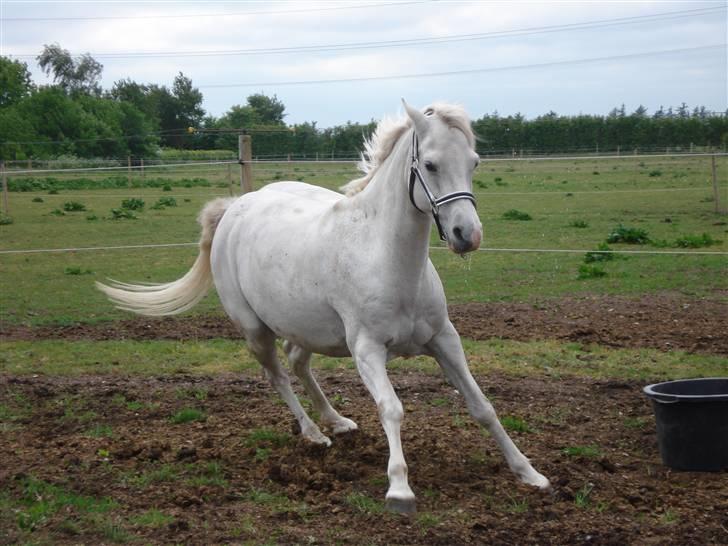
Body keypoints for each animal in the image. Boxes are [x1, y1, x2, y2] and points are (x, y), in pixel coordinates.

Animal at [96, 101, 551, 514]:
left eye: (474, 162)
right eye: (431, 164)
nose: (466, 235)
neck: (387, 258)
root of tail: (235, 208)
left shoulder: (444, 340)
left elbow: (483, 406)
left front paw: (529, 473)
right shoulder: (367, 351)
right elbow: (392, 409)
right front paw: (399, 490)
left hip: (305, 327)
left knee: (298, 362)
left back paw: (337, 420)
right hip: (255, 330)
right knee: (278, 375)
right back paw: (315, 433)